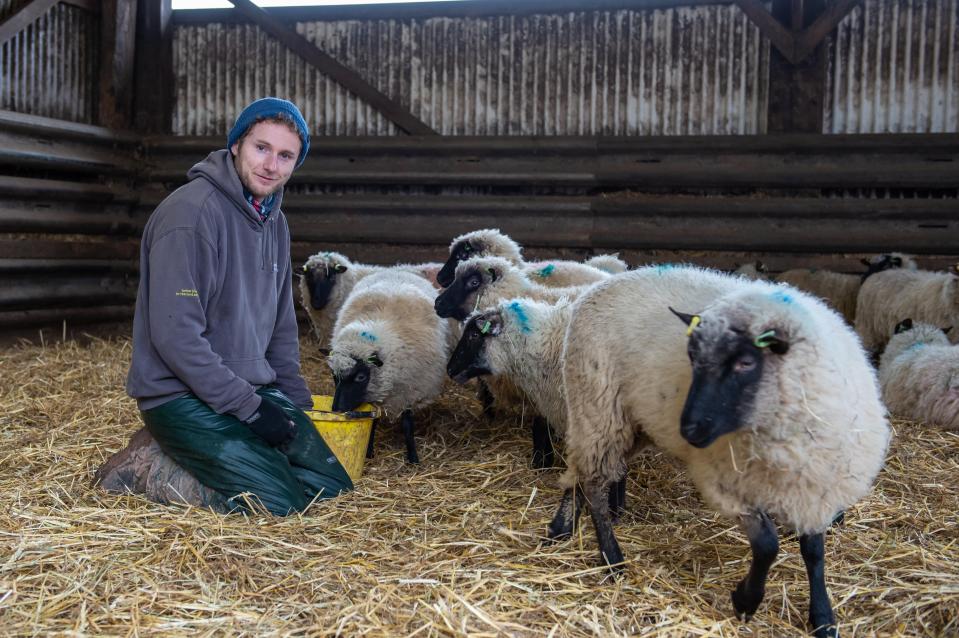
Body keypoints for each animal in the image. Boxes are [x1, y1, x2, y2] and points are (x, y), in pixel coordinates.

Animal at [328, 270, 452, 464]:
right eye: (334, 376)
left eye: (361, 377)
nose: (337, 409)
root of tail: (397, 270)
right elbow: (372, 420)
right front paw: (369, 451)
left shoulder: (410, 390)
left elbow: (407, 424)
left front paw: (413, 457)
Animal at [552, 264, 888, 638]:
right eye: (691, 359)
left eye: (745, 363)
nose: (689, 431)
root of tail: (600, 285)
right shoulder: (727, 483)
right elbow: (767, 544)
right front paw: (745, 601)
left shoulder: (814, 487)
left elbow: (814, 552)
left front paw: (823, 617)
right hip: (598, 406)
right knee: (593, 482)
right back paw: (611, 558)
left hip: (630, 422)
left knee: (579, 469)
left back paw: (562, 525)